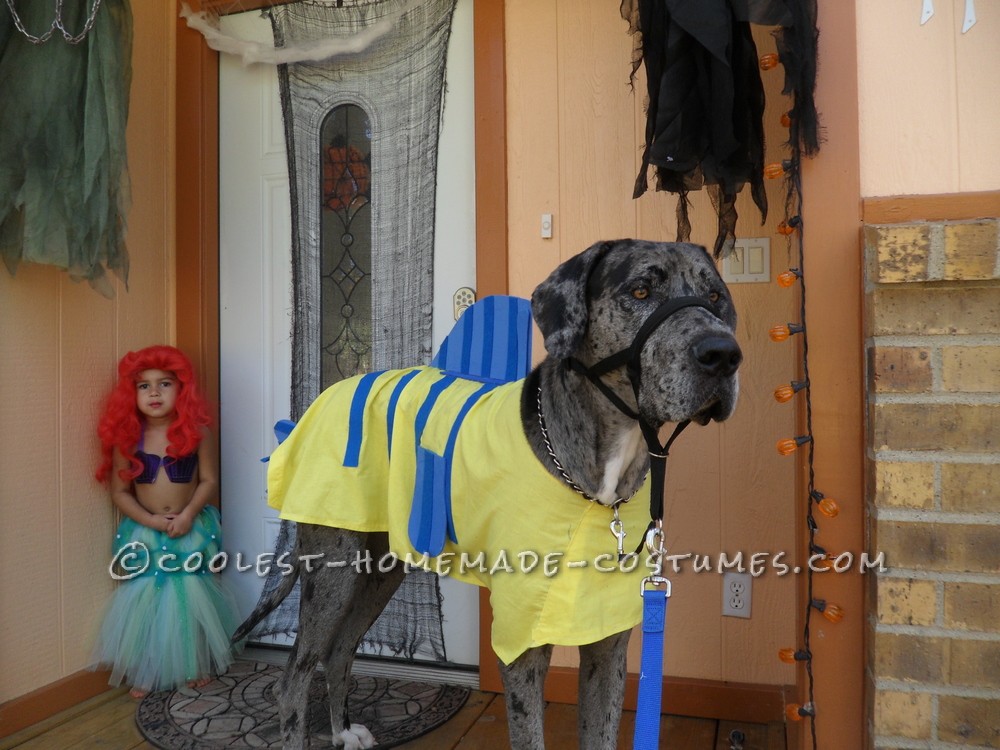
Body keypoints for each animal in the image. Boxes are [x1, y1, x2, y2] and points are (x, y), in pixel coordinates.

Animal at [230, 241, 740, 750]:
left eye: (715, 297)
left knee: (338, 649)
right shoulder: (522, 647)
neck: (597, 477)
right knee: (293, 678)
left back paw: (343, 731)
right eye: (640, 290)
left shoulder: (608, 646)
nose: (724, 354)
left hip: (381, 568)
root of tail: (313, 408)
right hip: (332, 572)